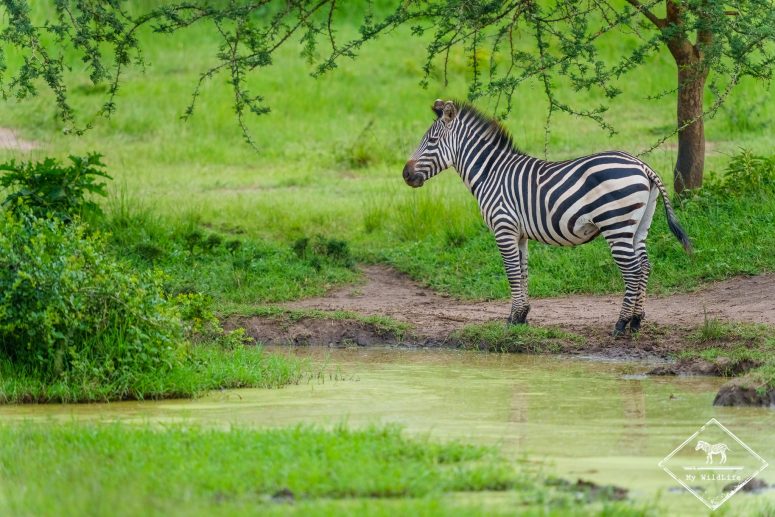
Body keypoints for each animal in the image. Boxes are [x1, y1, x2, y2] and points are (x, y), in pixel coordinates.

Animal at [402, 99, 692, 336]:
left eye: (431, 141)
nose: (405, 175)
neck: (490, 173)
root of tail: (643, 166)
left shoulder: (503, 227)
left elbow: (511, 272)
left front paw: (512, 320)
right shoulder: (519, 234)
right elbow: (523, 271)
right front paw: (521, 317)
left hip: (616, 224)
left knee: (632, 270)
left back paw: (621, 324)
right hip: (639, 225)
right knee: (645, 265)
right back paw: (637, 321)